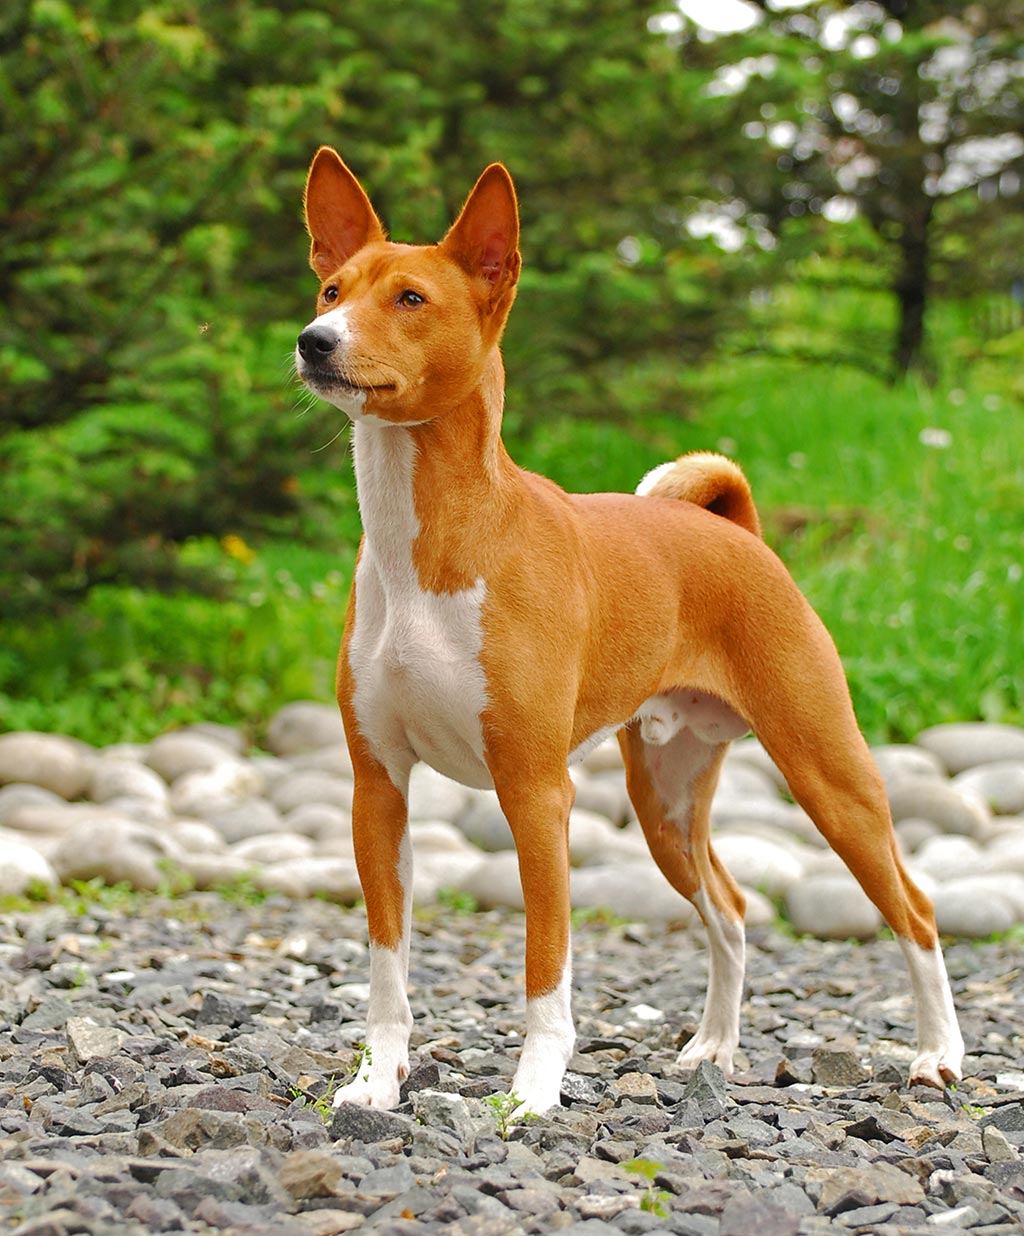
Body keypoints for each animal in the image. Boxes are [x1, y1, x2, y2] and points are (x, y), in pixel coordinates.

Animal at [291, 149, 964, 1117]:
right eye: (331, 288)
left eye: (410, 298)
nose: (315, 340)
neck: (432, 548)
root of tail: (739, 531)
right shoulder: (377, 789)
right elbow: (388, 968)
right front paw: (377, 1082)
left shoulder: (536, 792)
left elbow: (546, 967)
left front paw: (532, 1094)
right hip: (666, 800)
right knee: (731, 909)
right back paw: (714, 1047)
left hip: (829, 773)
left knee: (914, 908)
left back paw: (938, 1054)